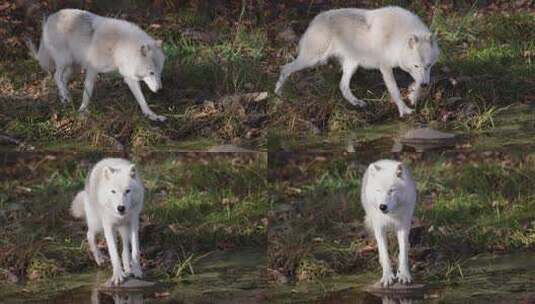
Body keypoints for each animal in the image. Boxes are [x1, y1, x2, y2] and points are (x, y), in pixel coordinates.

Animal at [25, 9, 166, 121]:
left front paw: (152, 115)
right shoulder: (92, 69)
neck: (119, 46)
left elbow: (142, 100)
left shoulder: (129, 77)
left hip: (74, 68)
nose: (160, 90)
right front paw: (82, 111)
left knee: (62, 79)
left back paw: (65, 98)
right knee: (56, 76)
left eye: (159, 73)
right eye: (151, 72)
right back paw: (65, 97)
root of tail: (50, 18)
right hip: (65, 61)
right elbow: (87, 92)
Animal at [276, 6, 440, 117]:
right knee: (285, 68)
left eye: (429, 65)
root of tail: (316, 19)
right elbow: (395, 91)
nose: (425, 85)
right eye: (416, 65)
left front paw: (413, 95)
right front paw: (404, 109)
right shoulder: (385, 67)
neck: (397, 37)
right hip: (313, 59)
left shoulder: (420, 73)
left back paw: (357, 102)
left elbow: (419, 82)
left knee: (342, 86)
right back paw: (278, 93)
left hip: (352, 64)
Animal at [362, 159, 416, 288]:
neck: (391, 216)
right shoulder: (380, 229)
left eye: (391, 190)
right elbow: (385, 254)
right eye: (378, 190)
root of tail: (384, 160)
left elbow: (403, 253)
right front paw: (387, 277)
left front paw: (403, 274)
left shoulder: (403, 228)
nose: (382, 206)